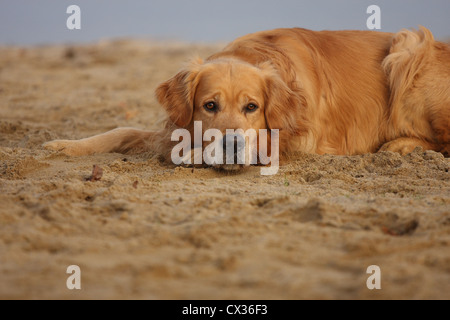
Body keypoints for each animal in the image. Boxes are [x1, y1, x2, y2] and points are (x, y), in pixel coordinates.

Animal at [44, 27, 450, 171]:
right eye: (209, 105)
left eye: (252, 107)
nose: (233, 145)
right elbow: (121, 130)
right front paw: (65, 145)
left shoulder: (295, 141)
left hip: (407, 48)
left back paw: (402, 145)